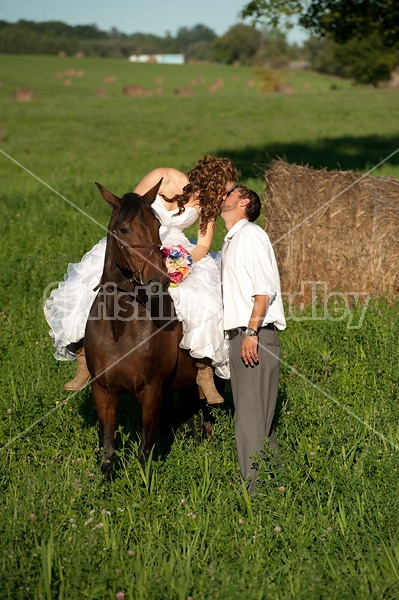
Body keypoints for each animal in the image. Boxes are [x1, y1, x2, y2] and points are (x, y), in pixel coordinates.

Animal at [86, 178, 202, 478]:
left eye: (156, 225)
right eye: (124, 229)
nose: (158, 279)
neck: (120, 329)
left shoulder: (152, 392)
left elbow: (144, 453)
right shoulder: (103, 392)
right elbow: (107, 454)